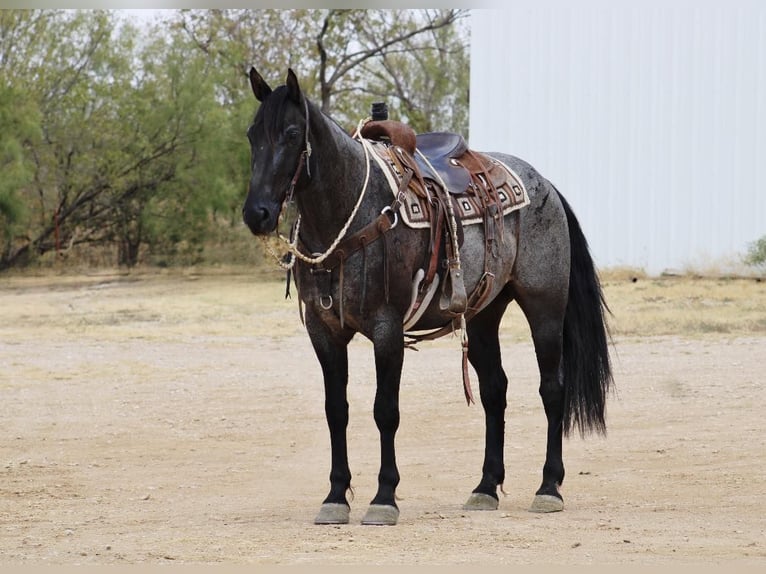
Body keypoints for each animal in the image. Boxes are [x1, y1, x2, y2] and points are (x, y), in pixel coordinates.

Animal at [243, 67, 616, 528]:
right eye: (252, 135)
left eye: (292, 133)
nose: (256, 212)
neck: (351, 213)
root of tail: (544, 183)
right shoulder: (324, 331)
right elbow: (336, 411)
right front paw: (335, 496)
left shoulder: (387, 329)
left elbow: (385, 410)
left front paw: (384, 497)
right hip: (483, 315)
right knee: (494, 390)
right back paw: (485, 487)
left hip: (544, 308)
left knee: (552, 388)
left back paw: (548, 487)